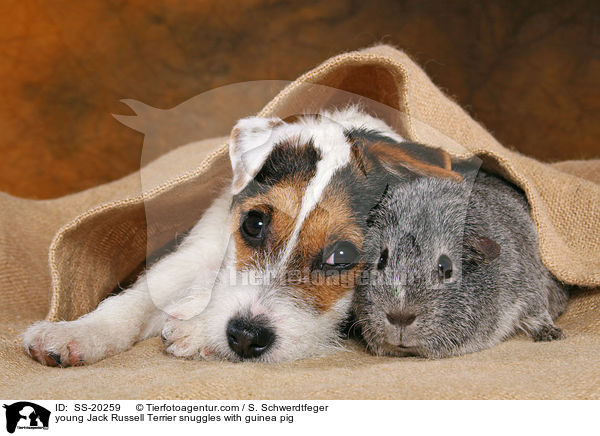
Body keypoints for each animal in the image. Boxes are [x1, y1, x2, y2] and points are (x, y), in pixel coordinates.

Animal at [22, 105, 454, 364]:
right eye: (254, 224)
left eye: (343, 256)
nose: (245, 335)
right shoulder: (202, 248)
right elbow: (138, 298)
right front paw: (76, 333)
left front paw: (195, 329)